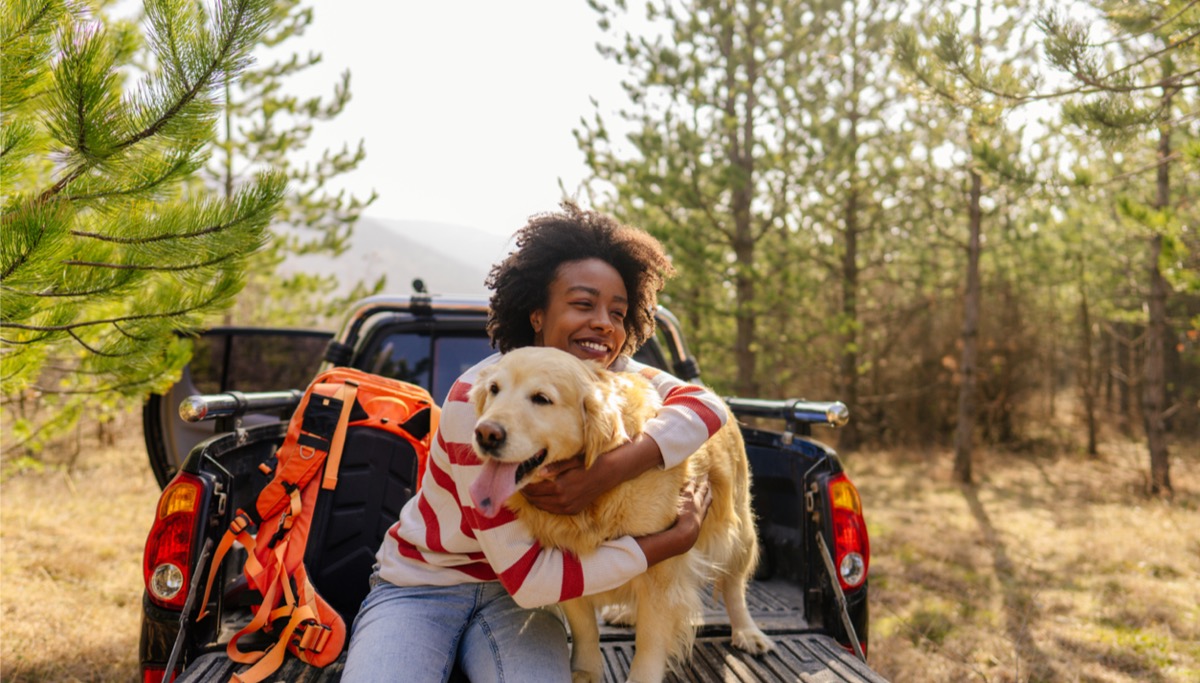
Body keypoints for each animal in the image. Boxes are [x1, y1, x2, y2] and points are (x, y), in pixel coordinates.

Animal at [463, 348, 772, 676]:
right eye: (494, 389)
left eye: (541, 398)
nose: (485, 433)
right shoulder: (566, 566)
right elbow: (585, 628)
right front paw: (585, 672)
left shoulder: (662, 575)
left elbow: (650, 644)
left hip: (739, 532)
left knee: (734, 585)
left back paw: (748, 632)